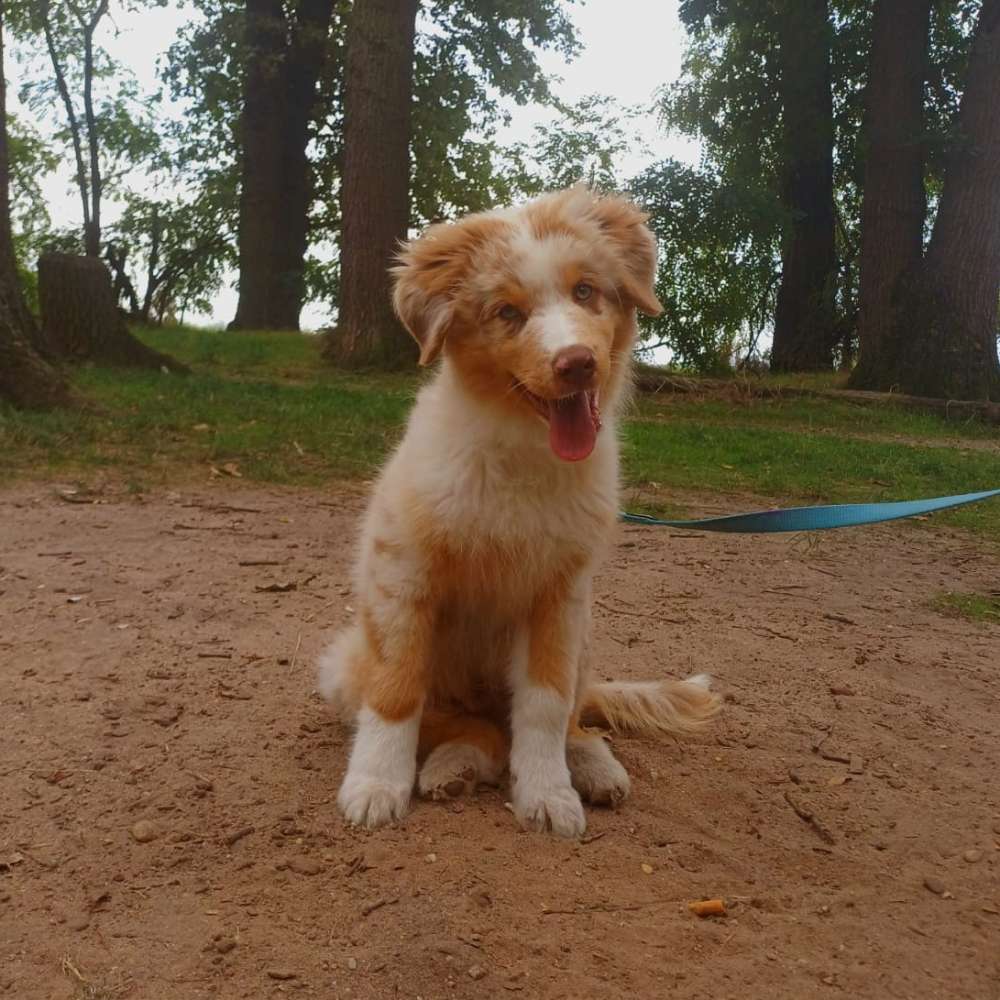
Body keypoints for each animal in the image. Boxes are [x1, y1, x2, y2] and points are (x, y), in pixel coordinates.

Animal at [320, 186, 720, 836]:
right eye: (507, 313)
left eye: (585, 291)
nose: (577, 362)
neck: (522, 457)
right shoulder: (400, 578)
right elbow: (397, 691)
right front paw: (376, 785)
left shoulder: (559, 595)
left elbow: (544, 705)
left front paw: (549, 793)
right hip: (346, 665)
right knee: (472, 729)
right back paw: (451, 766)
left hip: (584, 637)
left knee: (561, 719)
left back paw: (592, 767)